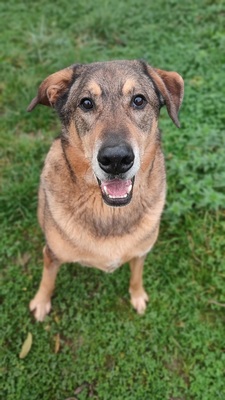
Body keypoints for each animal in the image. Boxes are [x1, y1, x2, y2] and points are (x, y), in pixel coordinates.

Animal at [27, 60, 184, 322]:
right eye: (86, 103)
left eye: (139, 100)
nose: (116, 159)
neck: (109, 212)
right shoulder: (51, 255)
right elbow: (47, 279)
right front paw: (41, 302)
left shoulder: (141, 253)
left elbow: (136, 275)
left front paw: (137, 296)